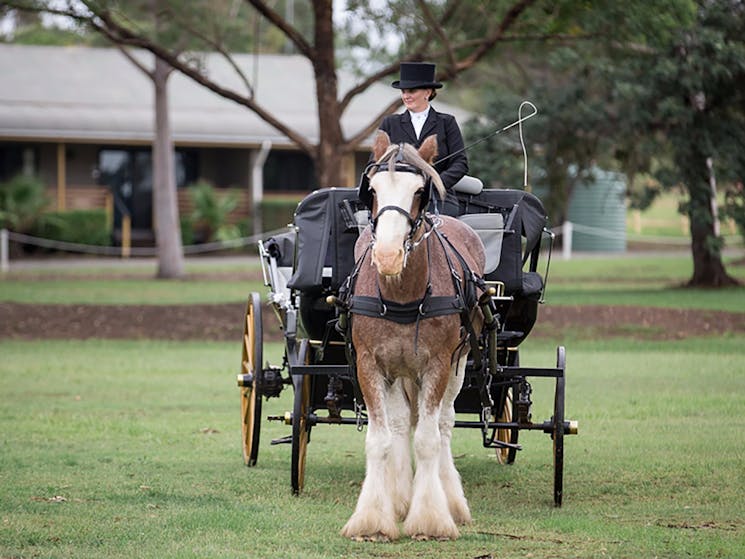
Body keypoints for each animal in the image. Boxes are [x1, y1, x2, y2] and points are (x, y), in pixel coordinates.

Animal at [340, 131, 486, 544]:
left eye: (420, 191)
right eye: (371, 190)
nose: (388, 256)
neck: (402, 294)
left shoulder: (438, 364)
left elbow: (427, 439)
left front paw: (431, 518)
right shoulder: (370, 364)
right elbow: (380, 438)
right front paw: (374, 517)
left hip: (458, 362)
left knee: (442, 424)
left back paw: (450, 499)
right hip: (399, 370)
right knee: (402, 421)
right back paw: (401, 496)